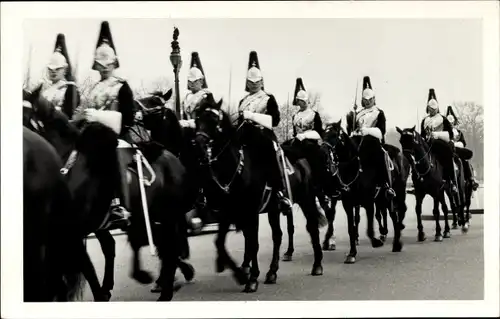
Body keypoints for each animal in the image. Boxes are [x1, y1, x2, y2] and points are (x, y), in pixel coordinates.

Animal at [192, 96, 328, 294]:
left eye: (214, 121)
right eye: (197, 120)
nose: (198, 145)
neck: (238, 169)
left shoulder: (251, 212)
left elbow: (252, 243)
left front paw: (251, 278)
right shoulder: (229, 213)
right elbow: (221, 243)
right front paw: (240, 274)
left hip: (307, 200)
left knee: (311, 228)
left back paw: (317, 265)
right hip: (273, 209)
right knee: (277, 236)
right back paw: (272, 272)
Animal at [322, 121, 408, 264]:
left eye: (334, 135)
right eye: (323, 134)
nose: (323, 151)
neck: (354, 170)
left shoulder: (368, 202)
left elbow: (369, 229)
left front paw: (376, 242)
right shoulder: (348, 204)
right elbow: (351, 228)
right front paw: (351, 253)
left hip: (396, 194)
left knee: (396, 215)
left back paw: (396, 243)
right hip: (383, 199)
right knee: (392, 215)